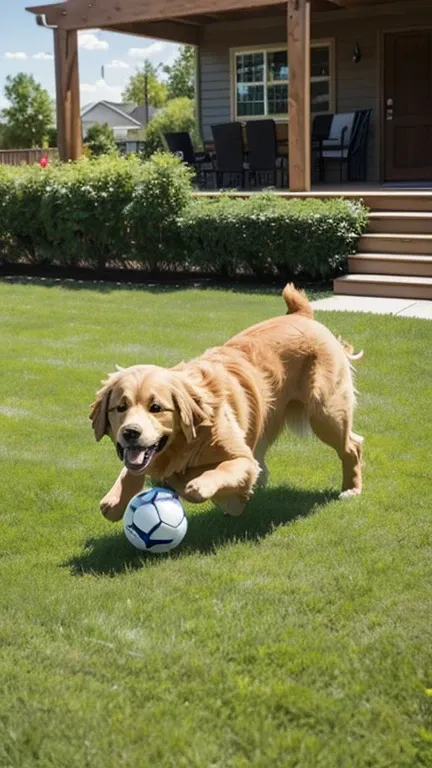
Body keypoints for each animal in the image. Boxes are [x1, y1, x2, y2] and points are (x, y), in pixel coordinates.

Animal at [91, 284, 364, 524]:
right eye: (120, 408)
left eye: (156, 408)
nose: (130, 433)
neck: (186, 440)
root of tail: (302, 315)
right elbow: (130, 474)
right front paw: (116, 499)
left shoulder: (243, 460)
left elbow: (216, 476)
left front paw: (201, 485)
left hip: (324, 413)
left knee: (352, 445)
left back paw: (351, 488)